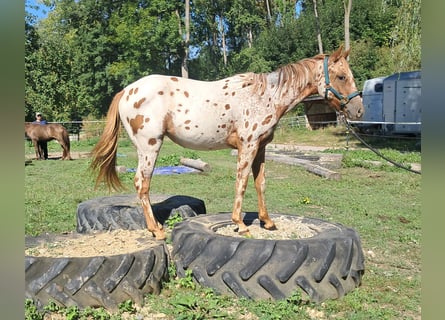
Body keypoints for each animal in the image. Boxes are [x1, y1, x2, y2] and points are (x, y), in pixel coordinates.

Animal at [91, 45, 364, 240]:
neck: (265, 96)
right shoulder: (248, 146)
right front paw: (240, 224)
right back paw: (156, 230)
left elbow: (260, 184)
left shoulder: (261, 148)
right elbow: (241, 183)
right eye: (341, 76)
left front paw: (267, 222)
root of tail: (126, 91)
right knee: (142, 183)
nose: (358, 110)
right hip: (149, 146)